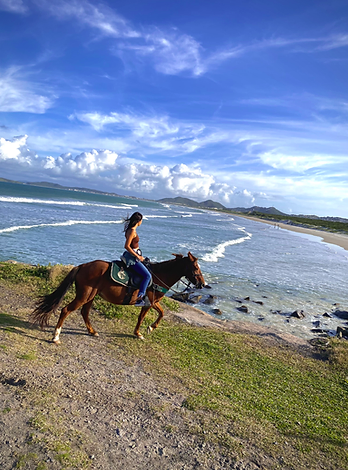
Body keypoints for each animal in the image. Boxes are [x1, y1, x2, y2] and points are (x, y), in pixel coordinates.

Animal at [30, 252, 204, 344]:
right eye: (195, 267)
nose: (202, 284)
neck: (158, 276)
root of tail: (82, 266)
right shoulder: (149, 302)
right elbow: (149, 316)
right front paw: (143, 331)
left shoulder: (152, 302)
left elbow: (156, 314)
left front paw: (146, 329)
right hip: (84, 296)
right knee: (66, 310)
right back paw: (56, 336)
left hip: (90, 296)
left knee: (84, 312)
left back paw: (92, 331)